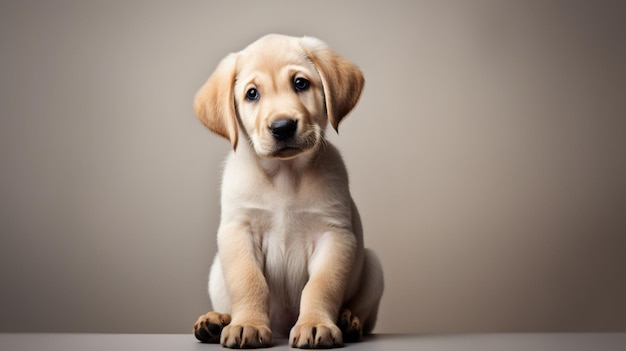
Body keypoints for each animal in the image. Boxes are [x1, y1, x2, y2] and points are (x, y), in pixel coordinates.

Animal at [193, 33, 382, 350]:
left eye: (301, 84)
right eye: (252, 94)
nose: (282, 127)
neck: (285, 176)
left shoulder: (334, 235)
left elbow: (320, 287)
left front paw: (315, 324)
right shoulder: (238, 231)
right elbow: (249, 282)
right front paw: (247, 324)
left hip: (374, 266)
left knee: (362, 314)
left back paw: (349, 321)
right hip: (216, 272)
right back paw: (216, 320)